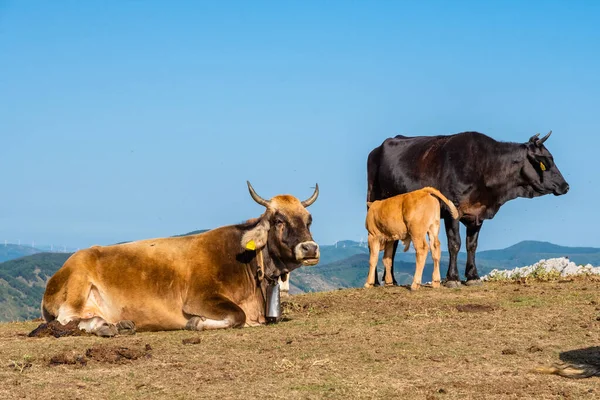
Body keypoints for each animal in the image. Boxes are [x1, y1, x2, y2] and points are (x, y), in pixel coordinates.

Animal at [39, 183, 322, 336]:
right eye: (278, 220)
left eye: (309, 220)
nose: (309, 248)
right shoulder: (198, 297)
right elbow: (237, 316)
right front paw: (197, 323)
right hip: (76, 287)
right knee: (66, 320)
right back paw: (104, 326)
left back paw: (117, 325)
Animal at [368, 131, 568, 288]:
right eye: (545, 162)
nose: (565, 186)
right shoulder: (452, 210)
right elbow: (454, 244)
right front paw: (452, 278)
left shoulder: (477, 213)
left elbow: (471, 245)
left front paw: (473, 276)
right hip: (372, 199)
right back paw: (377, 281)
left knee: (391, 242)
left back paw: (391, 281)